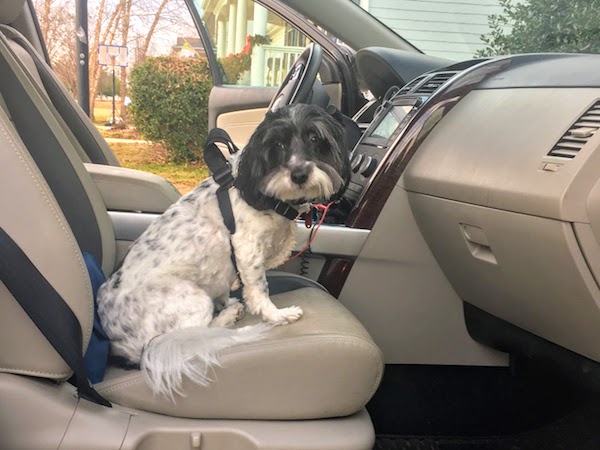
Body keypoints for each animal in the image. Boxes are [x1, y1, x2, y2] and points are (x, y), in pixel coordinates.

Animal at [96, 104, 352, 398]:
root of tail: (115, 343)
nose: (299, 175)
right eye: (277, 144)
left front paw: (228, 300)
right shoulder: (247, 249)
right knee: (193, 335)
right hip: (190, 300)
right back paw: (227, 317)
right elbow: (259, 291)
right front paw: (278, 316)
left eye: (314, 138)